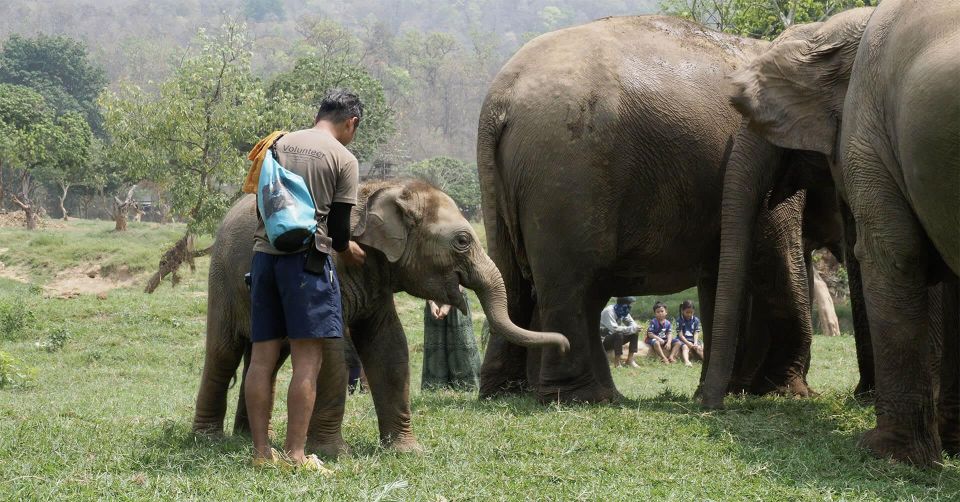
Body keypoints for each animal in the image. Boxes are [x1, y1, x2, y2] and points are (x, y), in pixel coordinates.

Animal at [191, 179, 568, 454]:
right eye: (462, 240)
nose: (564, 344)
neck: (383, 189)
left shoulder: (377, 282)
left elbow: (390, 346)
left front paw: (407, 451)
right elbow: (332, 352)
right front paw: (334, 454)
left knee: (266, 358)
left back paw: (250, 437)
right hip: (222, 281)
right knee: (223, 352)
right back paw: (208, 439)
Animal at [476, 14, 828, 404]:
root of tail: (500, 97)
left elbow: (722, 273)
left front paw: (734, 389)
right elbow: (777, 254)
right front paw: (790, 393)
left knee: (515, 277)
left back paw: (508, 392)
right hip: (567, 170)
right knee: (576, 282)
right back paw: (587, 398)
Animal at [704, 0, 960, 466]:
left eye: (768, 122)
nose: (709, 405)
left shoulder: (869, 124)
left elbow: (891, 252)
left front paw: (887, 453)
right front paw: (947, 446)